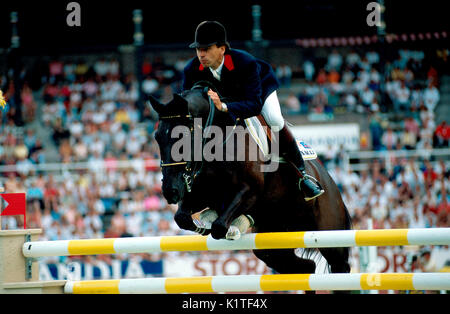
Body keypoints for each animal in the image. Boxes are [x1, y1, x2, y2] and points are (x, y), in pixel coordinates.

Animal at [148, 84, 352, 278]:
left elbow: (219, 226)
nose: (170, 191)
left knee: (340, 266)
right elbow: (182, 217)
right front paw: (208, 224)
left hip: (331, 236)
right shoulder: (203, 194)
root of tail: (330, 182)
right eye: (157, 137)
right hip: (273, 238)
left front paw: (229, 228)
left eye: (182, 137)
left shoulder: (249, 191)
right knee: (304, 266)